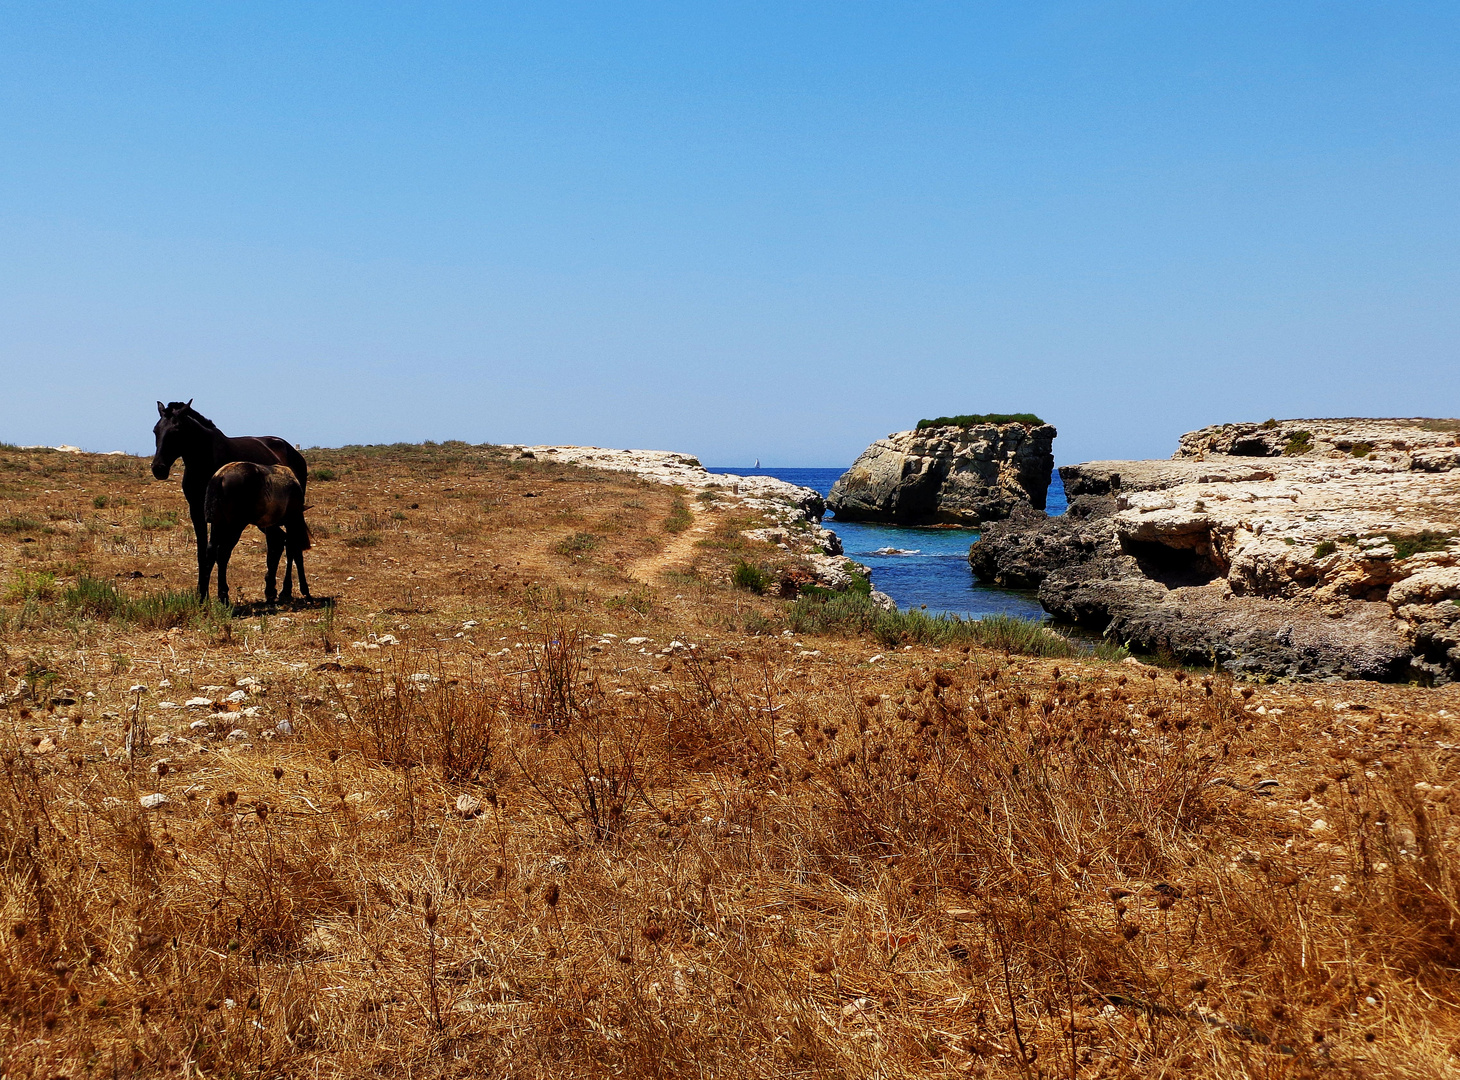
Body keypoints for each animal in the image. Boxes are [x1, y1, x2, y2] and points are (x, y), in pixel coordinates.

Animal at [202, 461, 310, 604]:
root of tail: (220, 476)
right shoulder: (292, 521)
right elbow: (293, 550)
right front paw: (293, 590)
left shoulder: (272, 526)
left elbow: (275, 550)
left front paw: (272, 590)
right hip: (235, 527)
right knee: (223, 553)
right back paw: (223, 595)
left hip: (218, 524)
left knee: (211, 552)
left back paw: (203, 595)